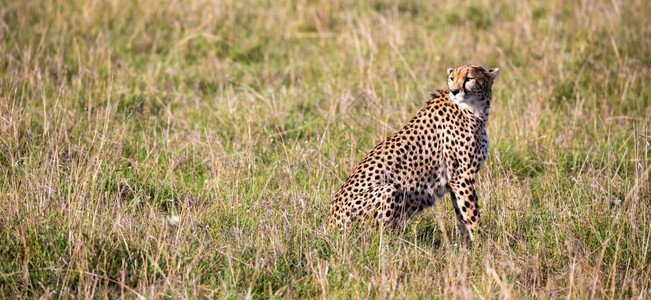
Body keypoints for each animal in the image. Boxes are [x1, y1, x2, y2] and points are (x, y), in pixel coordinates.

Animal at [328, 64, 502, 240]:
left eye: (469, 79)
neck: (475, 110)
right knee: (378, 236)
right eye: (452, 78)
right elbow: (472, 215)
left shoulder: (455, 180)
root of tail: (329, 226)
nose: (454, 91)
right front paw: (482, 242)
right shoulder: (463, 177)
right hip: (390, 190)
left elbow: (463, 215)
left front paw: (467, 243)